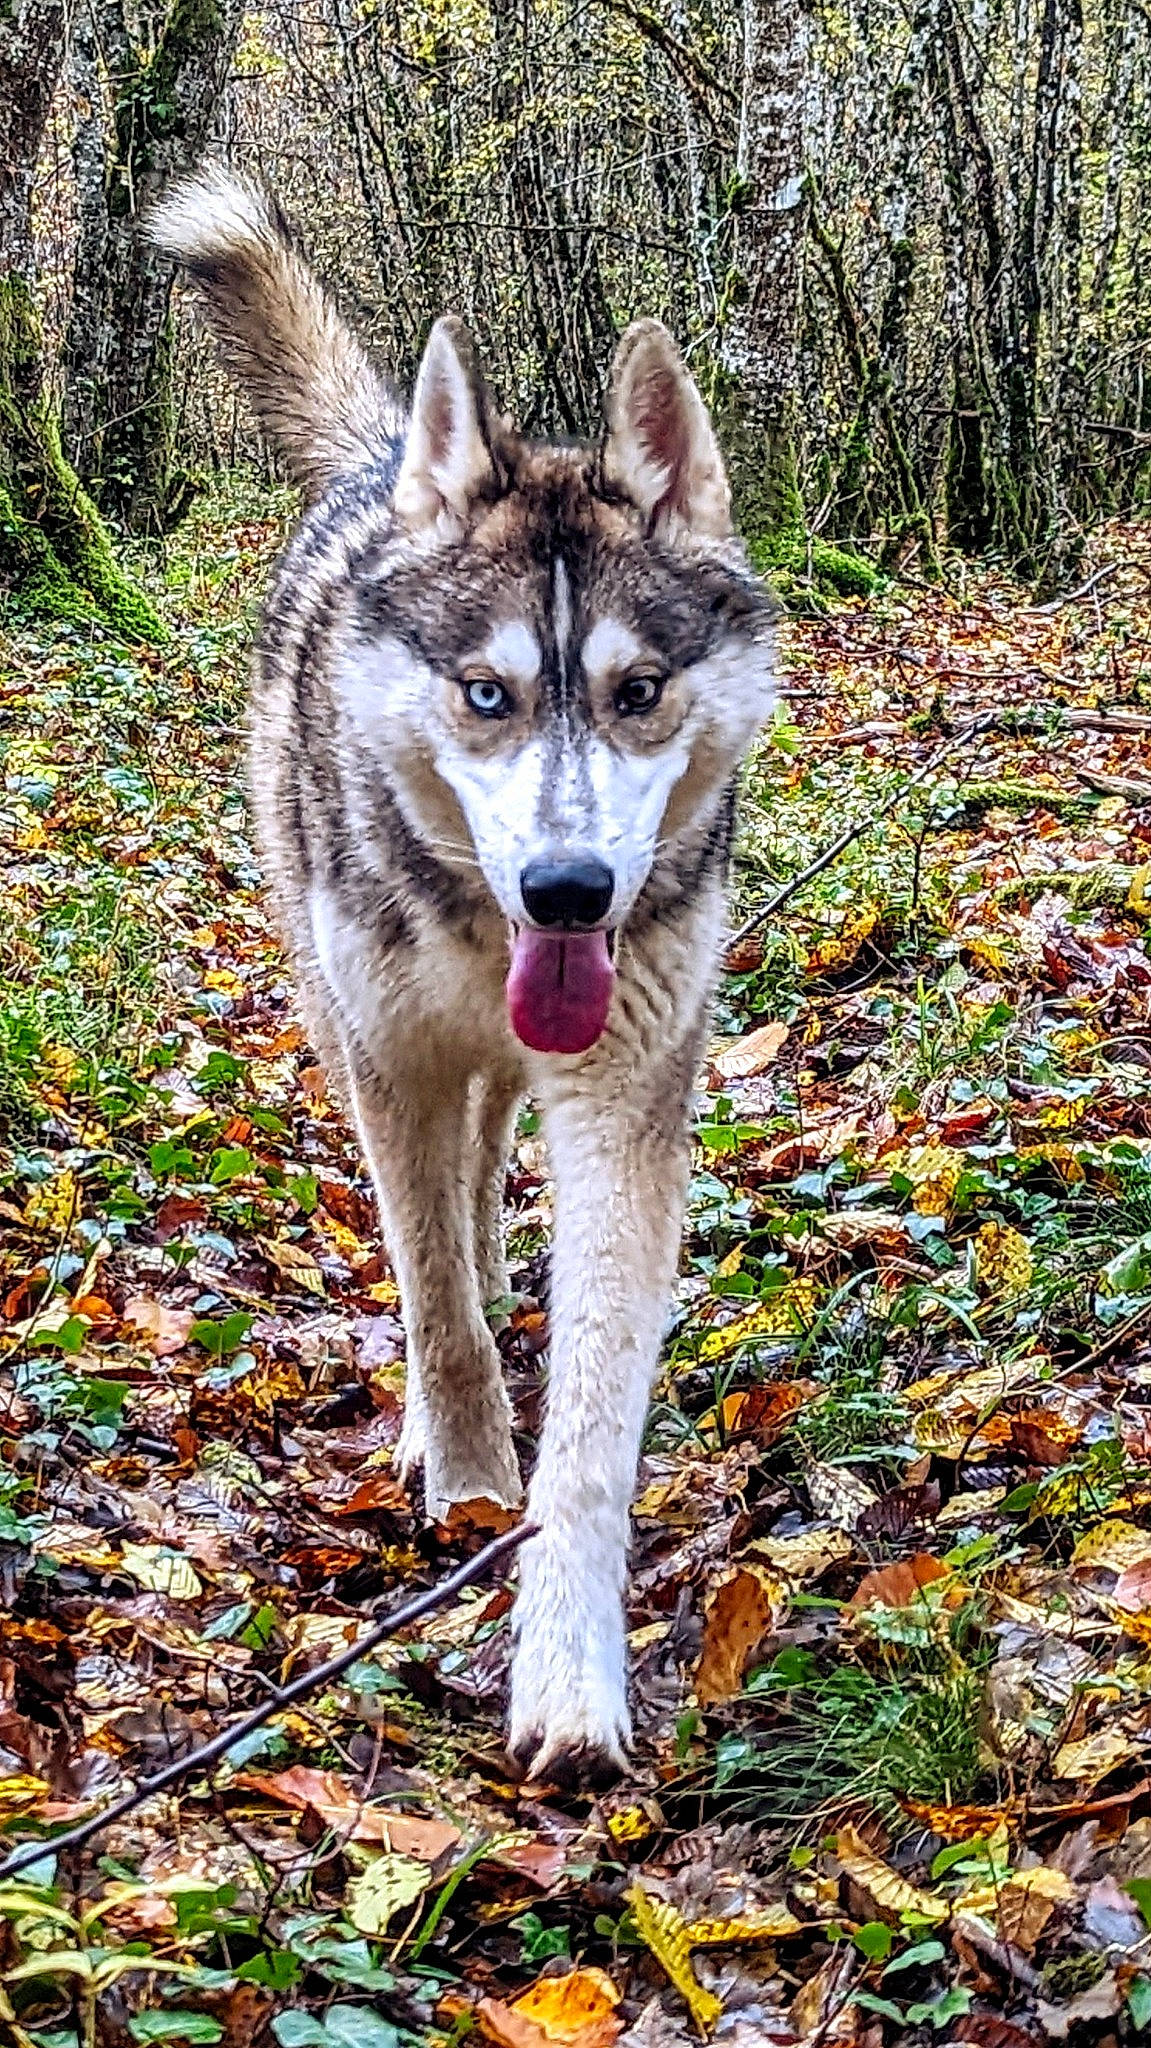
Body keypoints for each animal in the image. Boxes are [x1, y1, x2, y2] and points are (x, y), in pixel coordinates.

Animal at [152, 166, 777, 1785]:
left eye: (636, 692)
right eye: (484, 693)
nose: (567, 890)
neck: (501, 940)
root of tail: (385, 465)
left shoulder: (625, 1099)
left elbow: (597, 1419)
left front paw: (566, 1669)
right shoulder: (396, 1066)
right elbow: (431, 1297)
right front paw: (466, 1462)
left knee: (493, 1160)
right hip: (345, 1011)